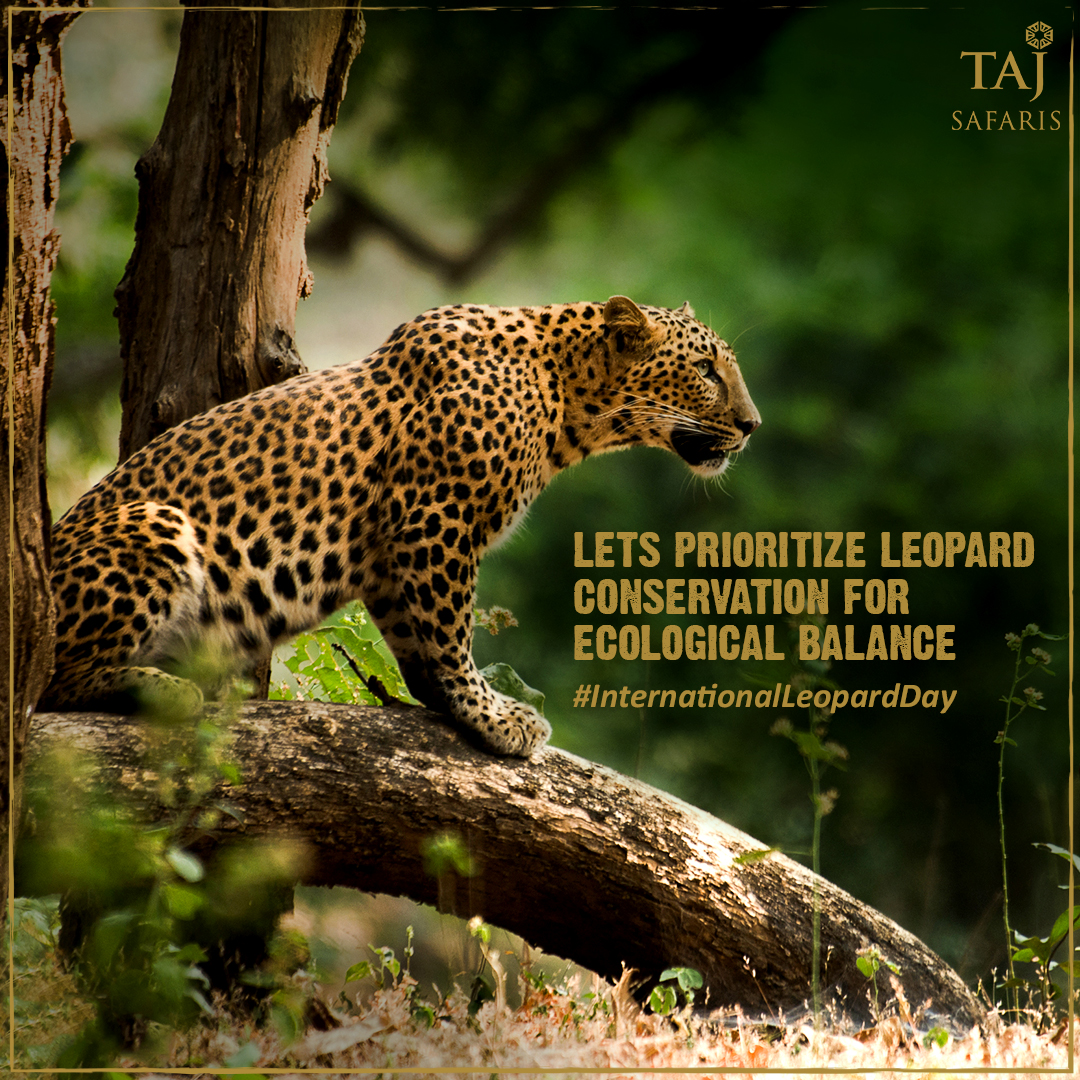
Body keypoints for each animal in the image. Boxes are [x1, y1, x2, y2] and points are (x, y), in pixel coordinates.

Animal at [41, 295, 761, 756]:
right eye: (706, 371)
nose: (753, 425)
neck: (567, 402)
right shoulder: (435, 519)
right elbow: (450, 633)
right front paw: (490, 716)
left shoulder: (393, 551)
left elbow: (421, 643)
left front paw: (445, 703)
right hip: (154, 524)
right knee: (57, 678)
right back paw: (165, 689)